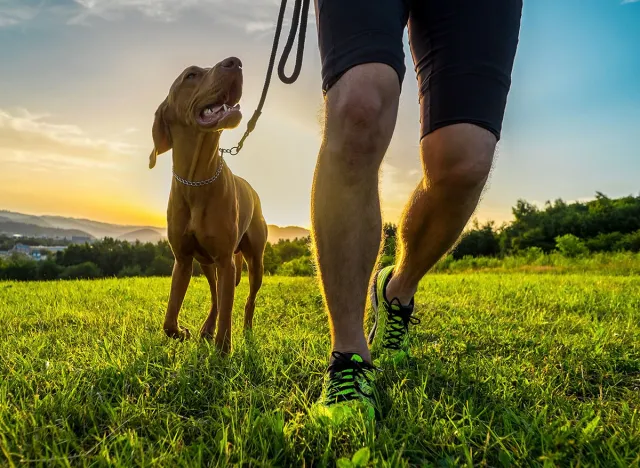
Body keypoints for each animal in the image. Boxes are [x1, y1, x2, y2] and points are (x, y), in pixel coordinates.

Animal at [149, 56, 268, 352]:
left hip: (254, 261)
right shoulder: (183, 260)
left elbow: (228, 311)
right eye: (191, 75)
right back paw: (206, 328)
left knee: (247, 299)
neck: (197, 179)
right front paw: (182, 332)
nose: (235, 62)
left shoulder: (226, 259)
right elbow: (169, 320)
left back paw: (246, 330)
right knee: (216, 295)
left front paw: (224, 349)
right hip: (206, 263)